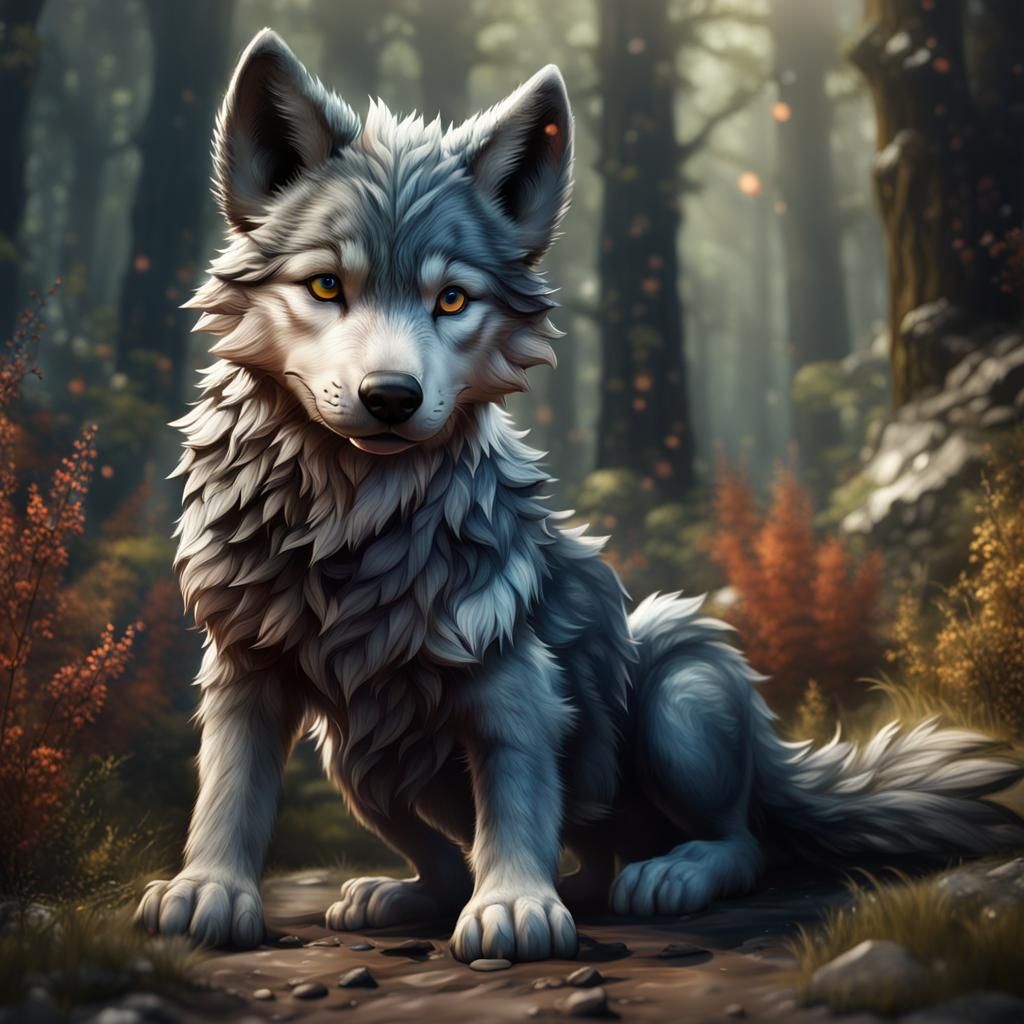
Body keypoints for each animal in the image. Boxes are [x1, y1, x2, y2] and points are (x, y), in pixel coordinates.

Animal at [136, 30, 1024, 961]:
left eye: (451, 299)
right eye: (324, 287)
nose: (391, 398)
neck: (351, 523)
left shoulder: (514, 682)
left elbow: (517, 806)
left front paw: (514, 908)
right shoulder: (244, 673)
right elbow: (228, 793)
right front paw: (207, 892)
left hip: (679, 695)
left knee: (740, 840)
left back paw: (670, 875)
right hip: (360, 760)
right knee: (491, 857)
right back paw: (407, 894)